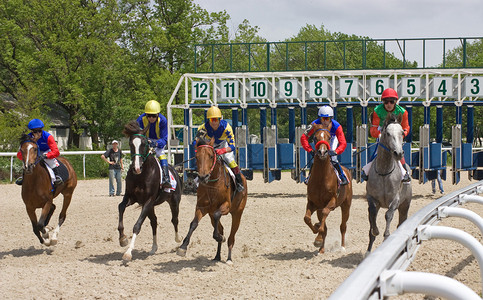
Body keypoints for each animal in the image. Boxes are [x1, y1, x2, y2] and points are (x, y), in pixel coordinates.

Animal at [119, 120, 183, 262]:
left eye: (144, 144)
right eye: (131, 144)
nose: (136, 168)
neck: (141, 175)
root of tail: (175, 170)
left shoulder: (148, 200)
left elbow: (137, 225)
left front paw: (128, 252)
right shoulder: (132, 198)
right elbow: (121, 207)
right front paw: (122, 239)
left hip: (174, 201)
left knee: (174, 220)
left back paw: (178, 239)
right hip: (151, 206)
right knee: (154, 222)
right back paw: (154, 248)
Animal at [304, 123, 354, 254]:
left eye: (328, 137)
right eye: (315, 138)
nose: (322, 152)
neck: (321, 178)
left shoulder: (332, 201)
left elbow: (326, 214)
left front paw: (319, 233)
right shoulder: (313, 203)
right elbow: (307, 218)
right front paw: (317, 233)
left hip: (346, 205)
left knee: (343, 226)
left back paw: (342, 247)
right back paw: (321, 248)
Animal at [366, 112, 412, 255]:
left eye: (402, 133)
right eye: (387, 133)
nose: (399, 153)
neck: (384, 172)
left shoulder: (395, 200)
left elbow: (388, 215)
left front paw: (386, 236)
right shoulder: (372, 198)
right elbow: (372, 213)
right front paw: (375, 231)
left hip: (405, 205)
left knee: (401, 221)